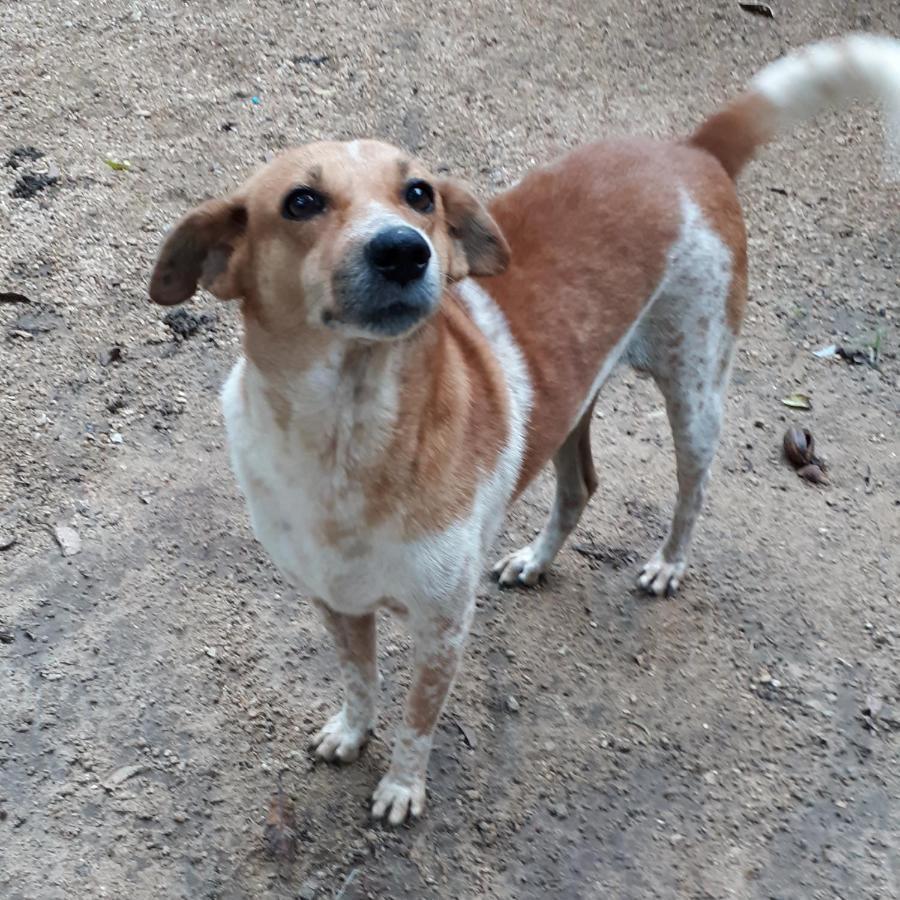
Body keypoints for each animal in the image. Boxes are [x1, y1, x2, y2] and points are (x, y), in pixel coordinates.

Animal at [149, 33, 900, 824]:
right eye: (301, 201)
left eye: (419, 193)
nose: (404, 249)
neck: (348, 436)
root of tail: (688, 151)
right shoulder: (335, 599)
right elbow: (360, 678)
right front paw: (351, 732)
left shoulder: (443, 623)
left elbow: (418, 715)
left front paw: (401, 788)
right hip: (571, 404)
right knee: (580, 487)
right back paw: (535, 561)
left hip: (696, 392)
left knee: (692, 489)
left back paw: (667, 564)